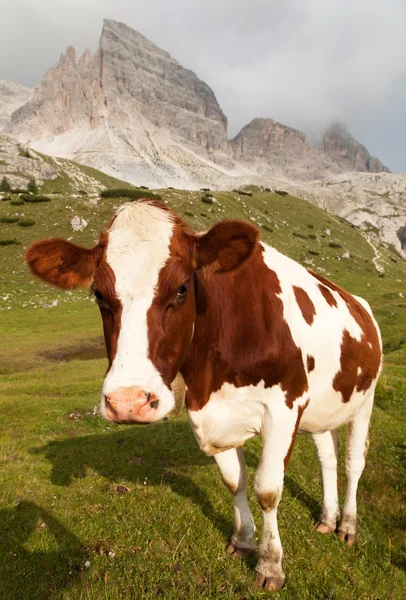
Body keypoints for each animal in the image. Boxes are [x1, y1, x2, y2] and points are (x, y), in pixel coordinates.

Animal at [25, 200, 380, 592]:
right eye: (99, 294)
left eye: (182, 288)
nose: (128, 402)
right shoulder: (208, 412)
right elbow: (234, 481)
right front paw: (242, 541)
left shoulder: (285, 406)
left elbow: (267, 489)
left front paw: (270, 564)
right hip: (324, 408)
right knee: (327, 458)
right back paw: (327, 518)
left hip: (364, 401)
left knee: (352, 463)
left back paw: (347, 525)